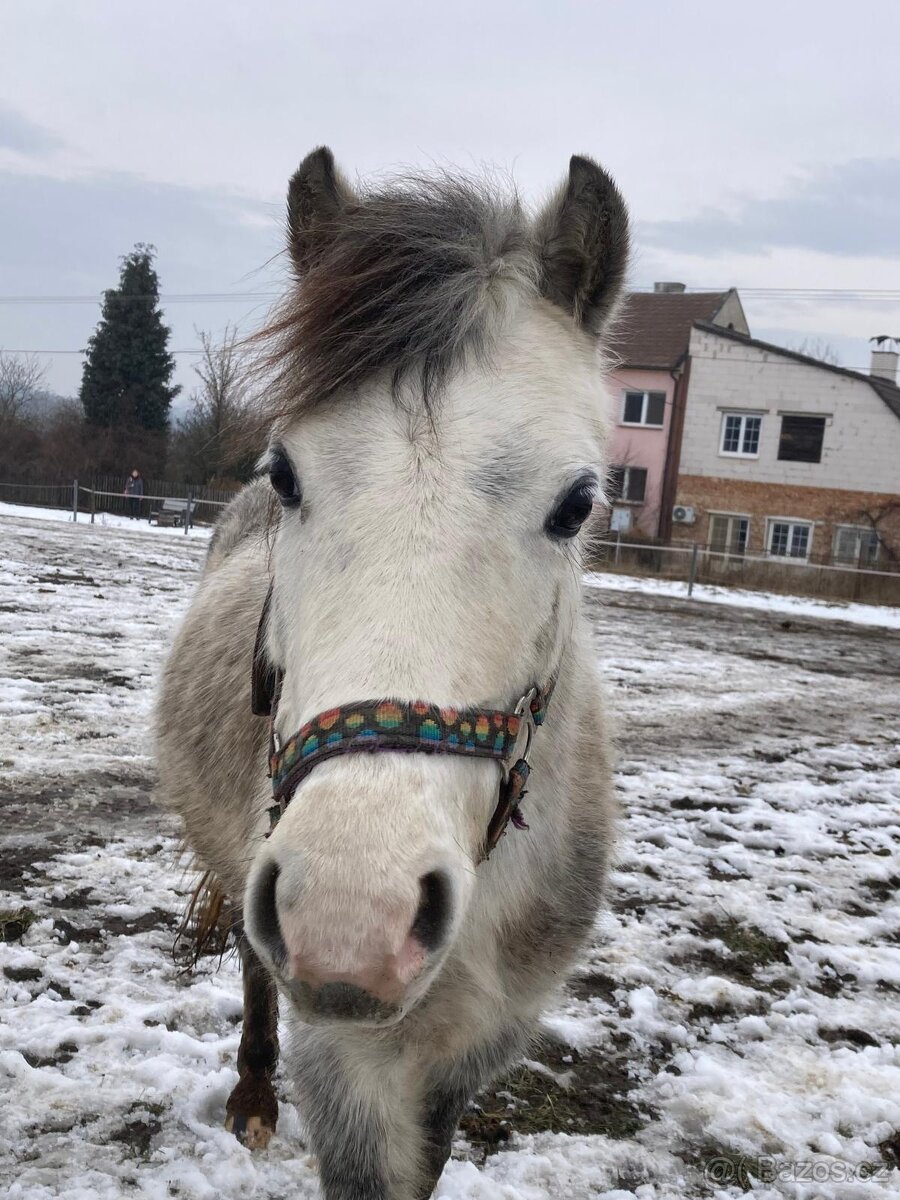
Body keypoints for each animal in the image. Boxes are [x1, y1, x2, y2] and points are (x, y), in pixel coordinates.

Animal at [156, 145, 627, 1200]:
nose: (349, 919)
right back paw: (253, 1097)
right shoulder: (353, 1068)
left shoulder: (472, 1046)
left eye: (577, 504)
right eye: (286, 473)